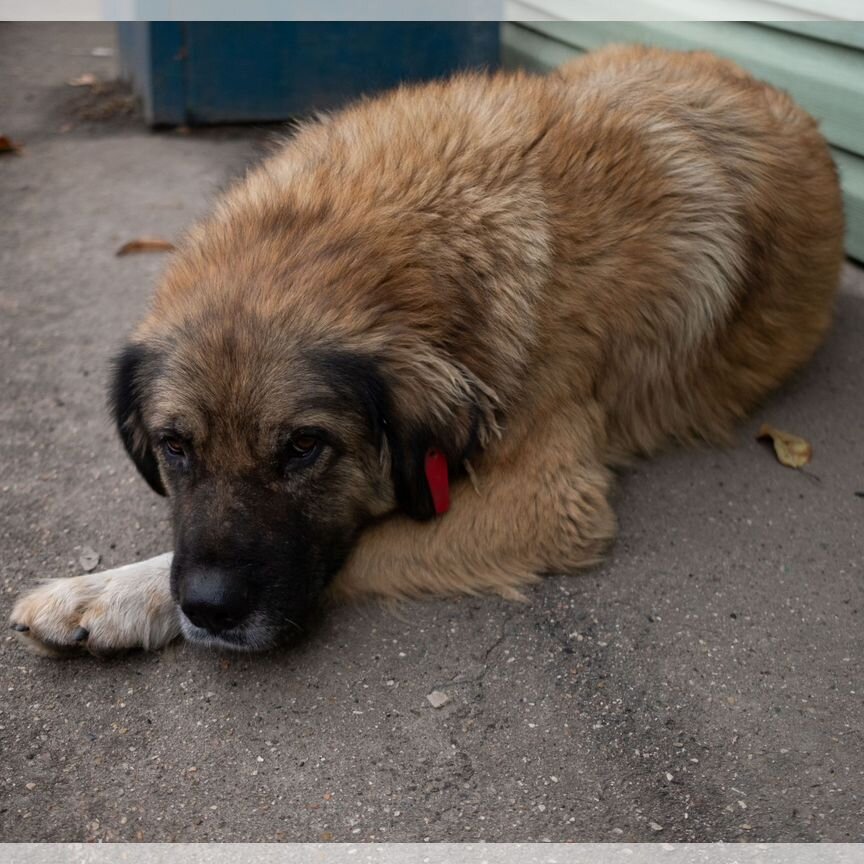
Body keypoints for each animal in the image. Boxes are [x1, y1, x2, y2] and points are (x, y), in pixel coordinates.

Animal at [8, 45, 844, 656]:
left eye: (305, 447)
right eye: (175, 447)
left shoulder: (548, 503)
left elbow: (359, 541)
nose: (210, 609)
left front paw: (119, 594)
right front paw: (109, 590)